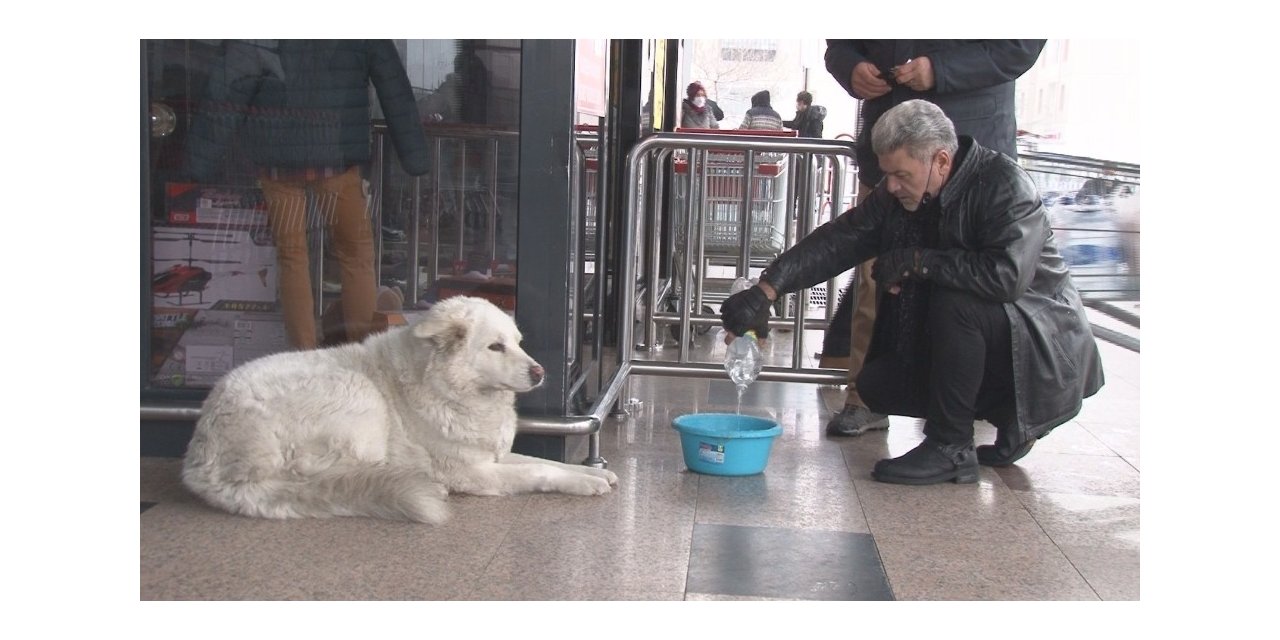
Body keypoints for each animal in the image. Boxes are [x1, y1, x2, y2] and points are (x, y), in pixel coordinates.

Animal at [183, 296, 616, 522]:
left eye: (518, 342)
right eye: (495, 347)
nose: (540, 371)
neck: (448, 387)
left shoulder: (492, 456)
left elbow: (548, 462)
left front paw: (592, 472)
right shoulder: (476, 472)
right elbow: (540, 471)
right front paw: (584, 483)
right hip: (358, 394)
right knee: (333, 474)